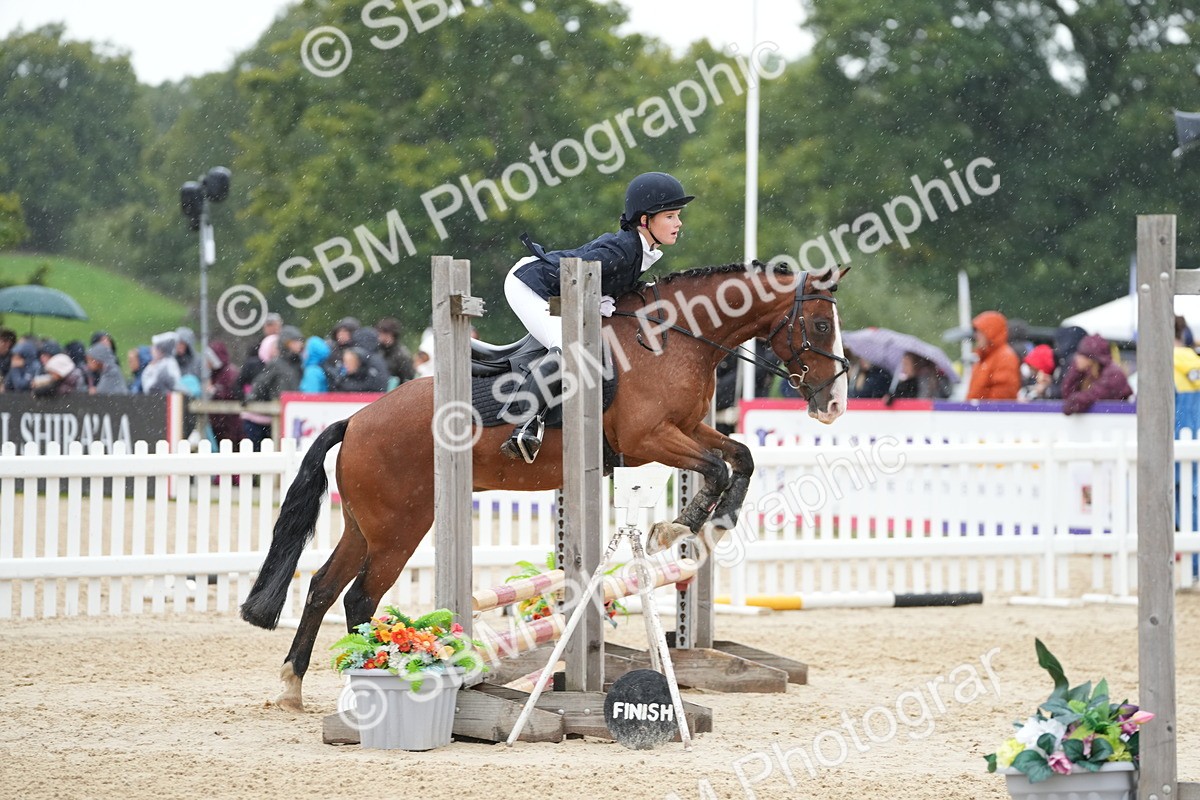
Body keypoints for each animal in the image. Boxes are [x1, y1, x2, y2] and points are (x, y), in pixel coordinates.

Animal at [240, 261, 850, 711]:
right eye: (821, 325)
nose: (834, 403)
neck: (669, 340)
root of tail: (356, 419)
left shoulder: (687, 428)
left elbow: (740, 457)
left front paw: (708, 523)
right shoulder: (651, 437)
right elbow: (720, 468)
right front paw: (680, 526)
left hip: (365, 524)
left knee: (322, 587)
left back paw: (292, 686)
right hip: (401, 528)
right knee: (361, 596)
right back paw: (373, 680)